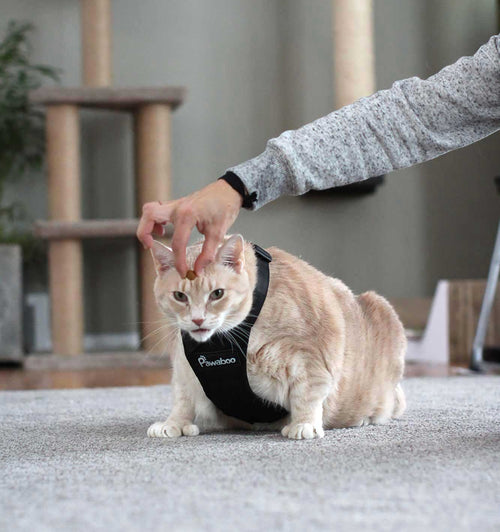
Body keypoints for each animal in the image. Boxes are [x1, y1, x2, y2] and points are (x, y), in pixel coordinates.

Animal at [148, 236, 406, 440]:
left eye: (217, 294)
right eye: (180, 296)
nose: (198, 320)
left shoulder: (308, 358)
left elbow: (307, 393)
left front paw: (304, 424)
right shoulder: (184, 367)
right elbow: (183, 400)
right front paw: (174, 423)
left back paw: (364, 417)